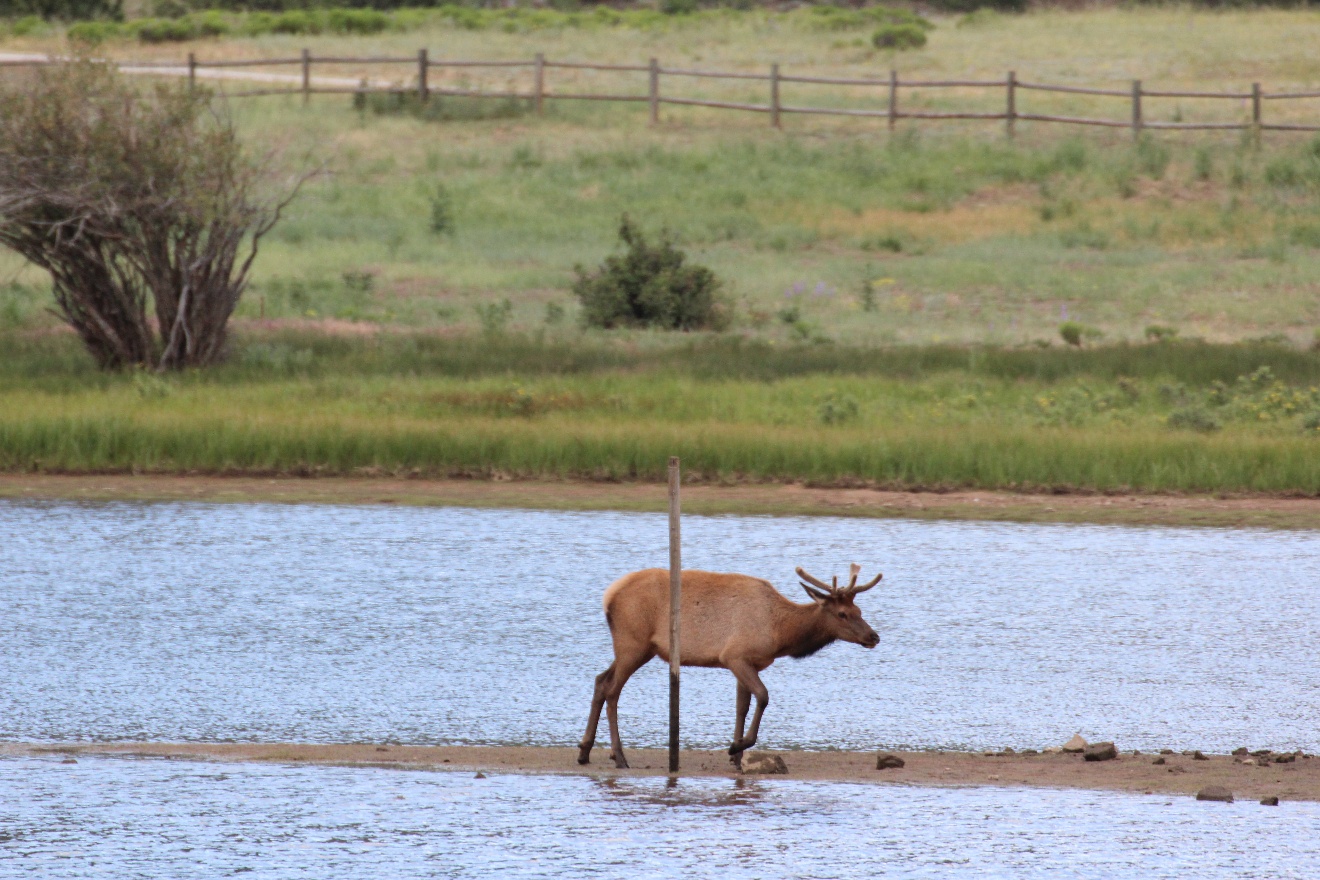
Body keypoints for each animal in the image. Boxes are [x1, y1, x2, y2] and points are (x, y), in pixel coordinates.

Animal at [578, 562, 882, 771]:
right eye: (842, 614)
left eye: (859, 611)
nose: (873, 636)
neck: (780, 634)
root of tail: (609, 597)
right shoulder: (734, 656)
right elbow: (763, 696)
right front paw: (737, 746)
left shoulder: (748, 663)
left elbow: (742, 706)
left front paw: (737, 757)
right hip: (633, 643)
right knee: (613, 691)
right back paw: (619, 756)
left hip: (641, 649)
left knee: (600, 680)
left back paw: (584, 751)